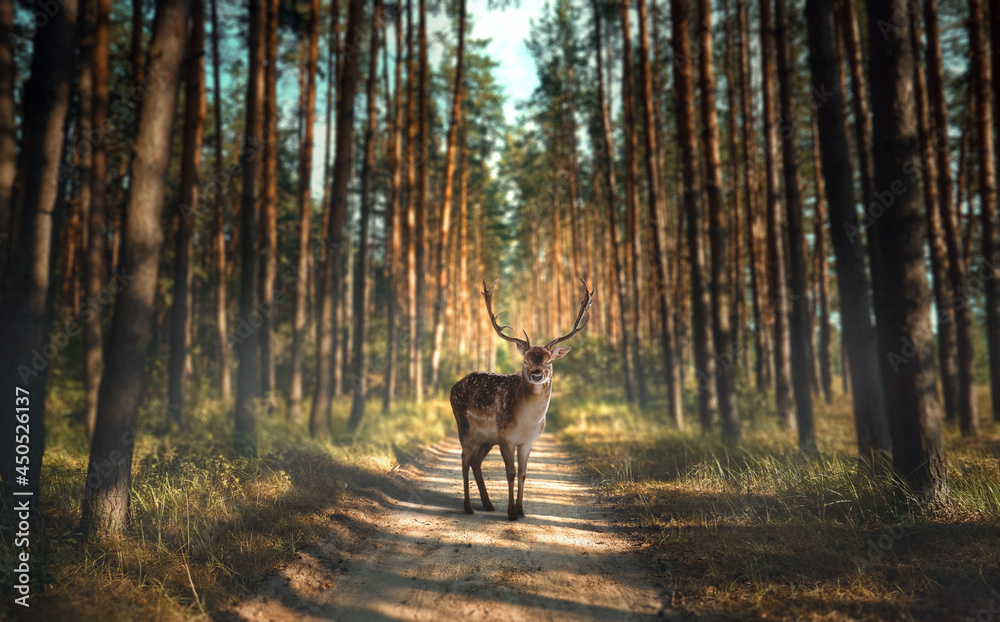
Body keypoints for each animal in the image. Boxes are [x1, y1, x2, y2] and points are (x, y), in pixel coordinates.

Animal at [449, 277, 594, 520]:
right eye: (526, 360)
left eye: (549, 361)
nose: (537, 374)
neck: (526, 422)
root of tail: (453, 386)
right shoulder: (506, 437)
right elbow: (510, 473)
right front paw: (511, 513)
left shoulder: (528, 441)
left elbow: (524, 473)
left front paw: (521, 510)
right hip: (464, 426)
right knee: (464, 460)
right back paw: (468, 507)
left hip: (486, 438)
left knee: (476, 462)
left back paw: (488, 504)